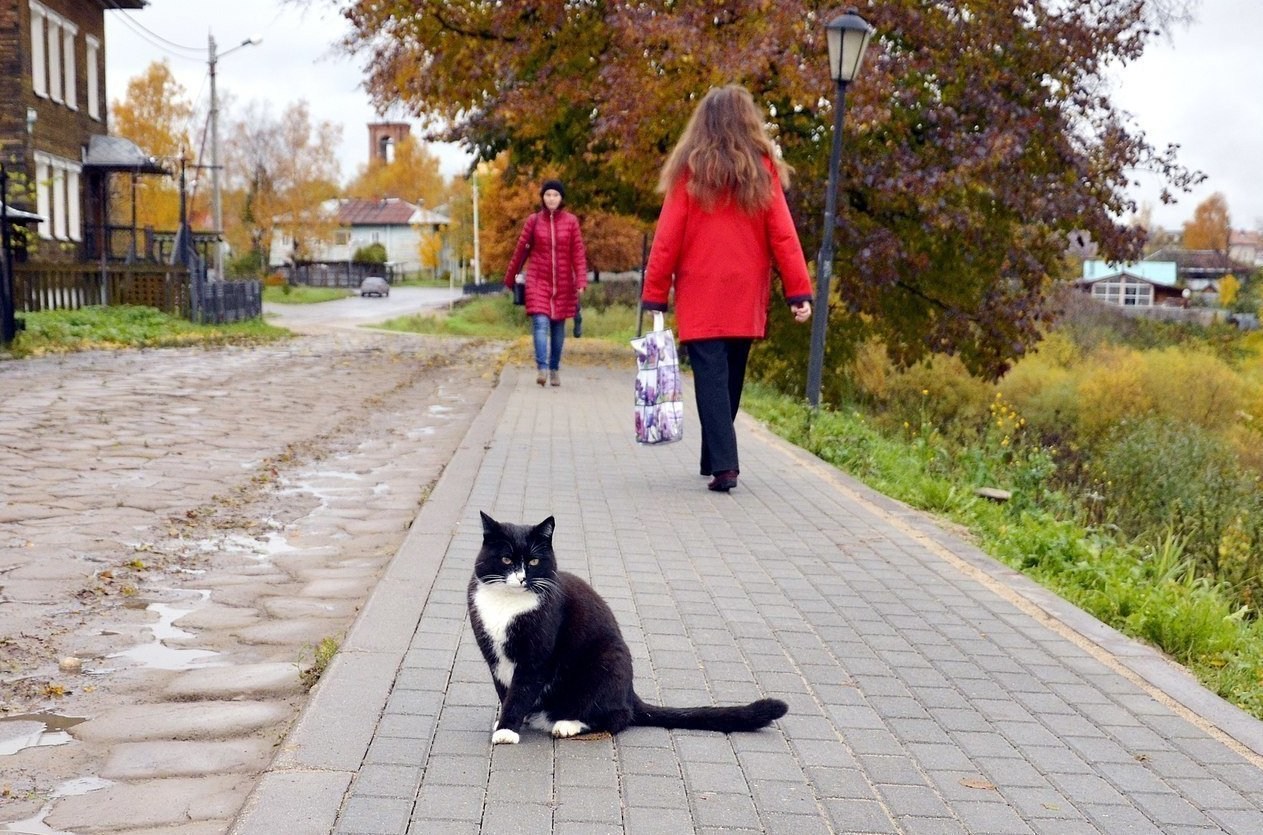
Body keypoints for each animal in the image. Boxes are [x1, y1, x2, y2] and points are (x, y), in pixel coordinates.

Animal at [469, 510, 783, 747]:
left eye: (534, 561)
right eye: (506, 559)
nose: (521, 578)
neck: (506, 604)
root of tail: (631, 693)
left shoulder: (536, 658)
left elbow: (521, 691)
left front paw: (507, 730)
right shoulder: (494, 657)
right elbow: (506, 691)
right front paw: (508, 721)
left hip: (607, 661)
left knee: (616, 717)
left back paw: (567, 724)